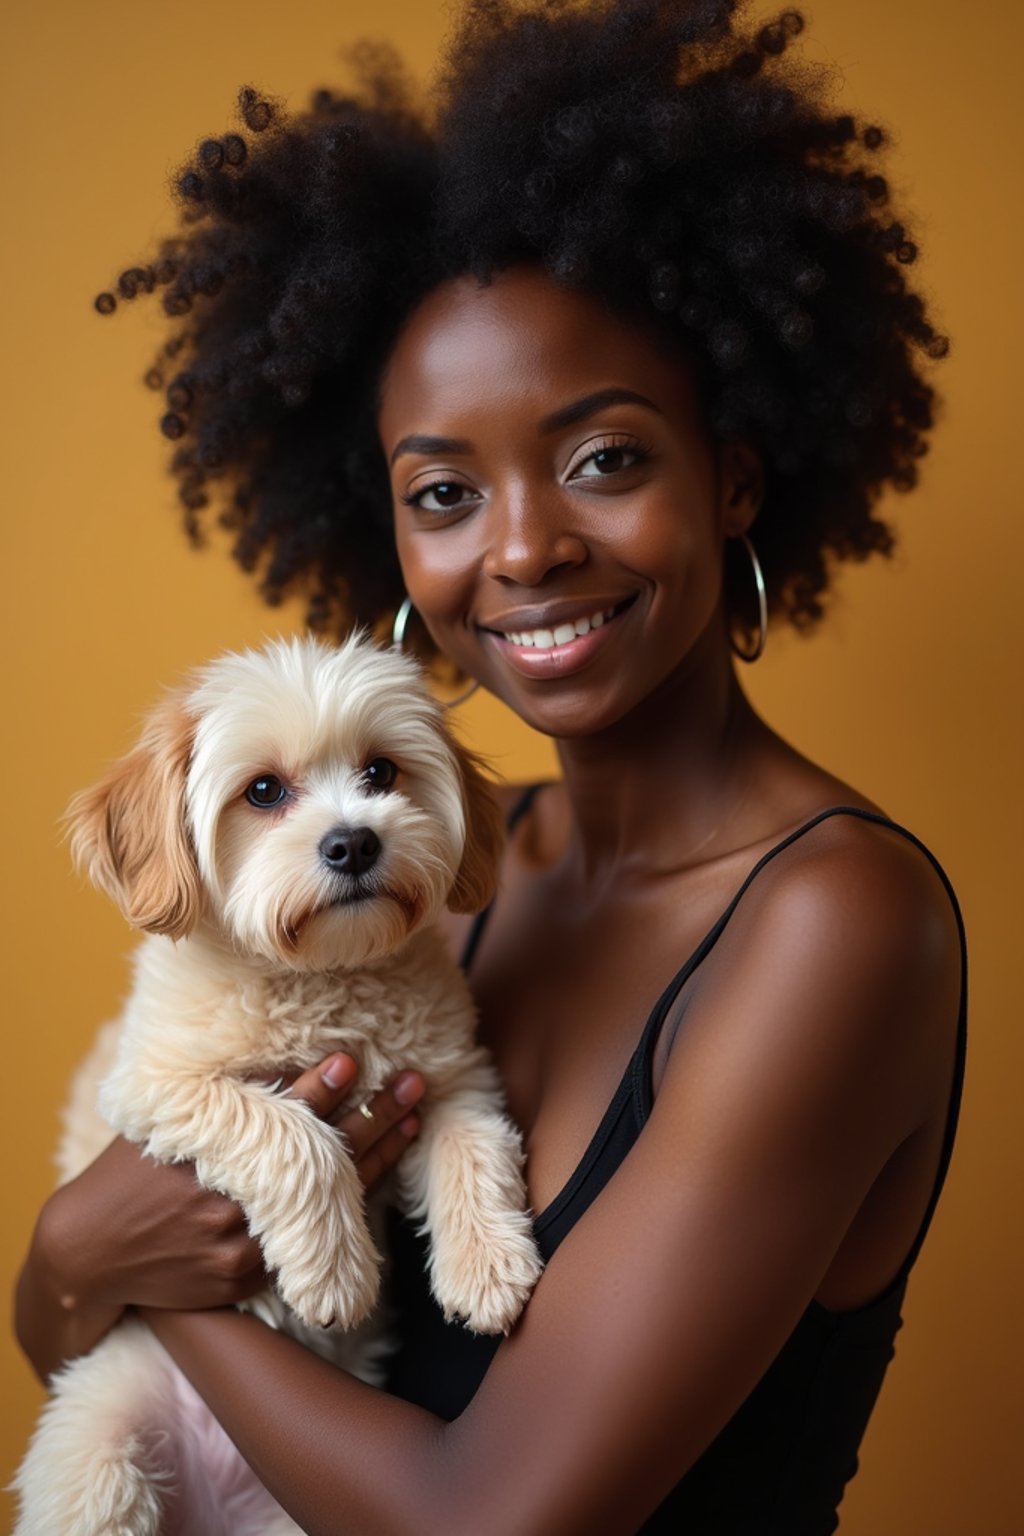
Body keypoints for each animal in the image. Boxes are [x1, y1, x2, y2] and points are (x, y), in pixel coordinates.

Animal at [14, 635, 543, 1536]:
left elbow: (473, 1150)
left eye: (381, 772)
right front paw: (333, 1270)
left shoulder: (450, 1078)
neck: (323, 980)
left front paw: (488, 1266)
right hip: (103, 1457)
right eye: (263, 791)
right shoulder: (155, 1085)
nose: (354, 843)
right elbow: (290, 1130)